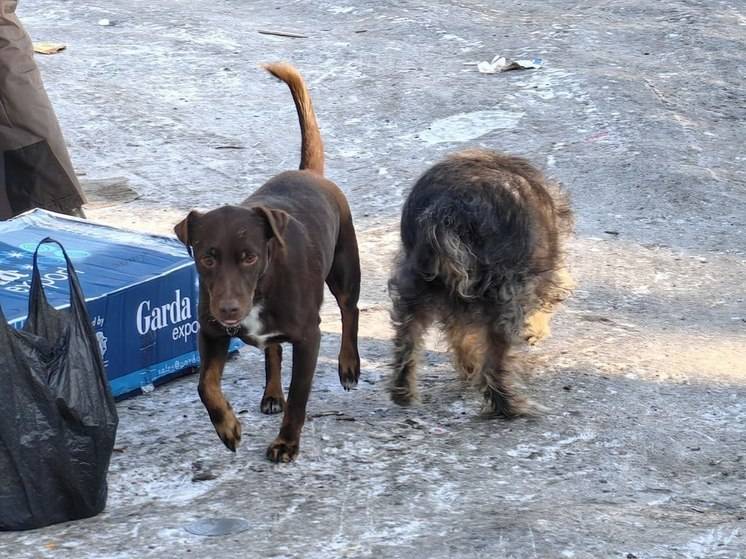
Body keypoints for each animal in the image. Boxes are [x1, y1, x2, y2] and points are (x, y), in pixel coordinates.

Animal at [174, 62, 360, 464]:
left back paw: (349, 364)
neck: (261, 287)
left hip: (344, 268)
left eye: (250, 257)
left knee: (349, 310)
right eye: (207, 257)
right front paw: (227, 427)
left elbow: (300, 397)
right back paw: (273, 393)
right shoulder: (210, 332)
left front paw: (286, 443)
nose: (229, 309)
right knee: (272, 350)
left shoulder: (309, 337)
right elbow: (205, 385)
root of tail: (309, 173)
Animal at [386, 149, 572, 416]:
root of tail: (447, 209)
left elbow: (460, 335)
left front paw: (468, 366)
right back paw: (509, 406)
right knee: (495, 363)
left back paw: (402, 393)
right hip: (504, 297)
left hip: (414, 283)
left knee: (406, 339)